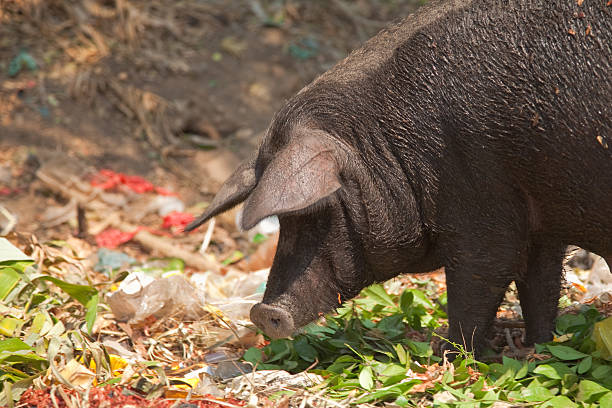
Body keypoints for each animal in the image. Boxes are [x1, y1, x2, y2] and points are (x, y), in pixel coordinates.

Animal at [188, 0, 612, 356]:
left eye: (317, 213)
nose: (263, 312)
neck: (393, 142)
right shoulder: (542, 222)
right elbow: (540, 284)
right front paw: (538, 348)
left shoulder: (484, 208)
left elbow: (478, 283)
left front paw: (450, 356)